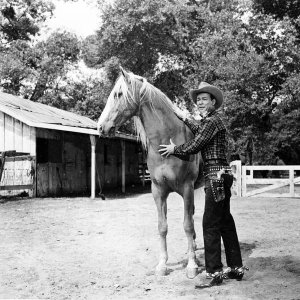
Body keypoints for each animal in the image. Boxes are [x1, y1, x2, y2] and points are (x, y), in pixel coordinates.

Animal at [98, 68, 202, 278]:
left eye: (118, 94)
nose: (101, 126)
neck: (167, 142)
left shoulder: (187, 189)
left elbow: (187, 225)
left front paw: (191, 265)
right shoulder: (158, 191)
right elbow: (162, 227)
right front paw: (162, 265)